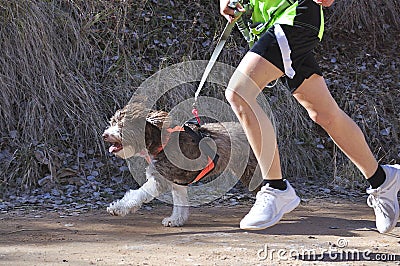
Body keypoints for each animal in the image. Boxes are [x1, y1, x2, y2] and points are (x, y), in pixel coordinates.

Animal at [103, 100, 260, 227]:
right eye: (112, 123)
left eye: (122, 125)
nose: (104, 135)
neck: (161, 142)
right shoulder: (177, 182)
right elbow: (180, 202)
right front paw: (176, 219)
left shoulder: (161, 178)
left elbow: (139, 193)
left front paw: (118, 208)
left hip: (251, 169)